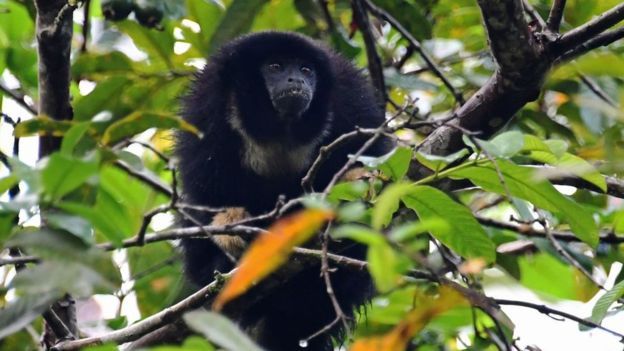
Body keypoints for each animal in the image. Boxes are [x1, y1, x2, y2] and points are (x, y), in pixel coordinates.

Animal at [176, 31, 390, 350]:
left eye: (305, 69)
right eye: (275, 66)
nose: (296, 80)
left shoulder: (350, 95)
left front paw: (359, 178)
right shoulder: (207, 104)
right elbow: (202, 186)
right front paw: (230, 226)